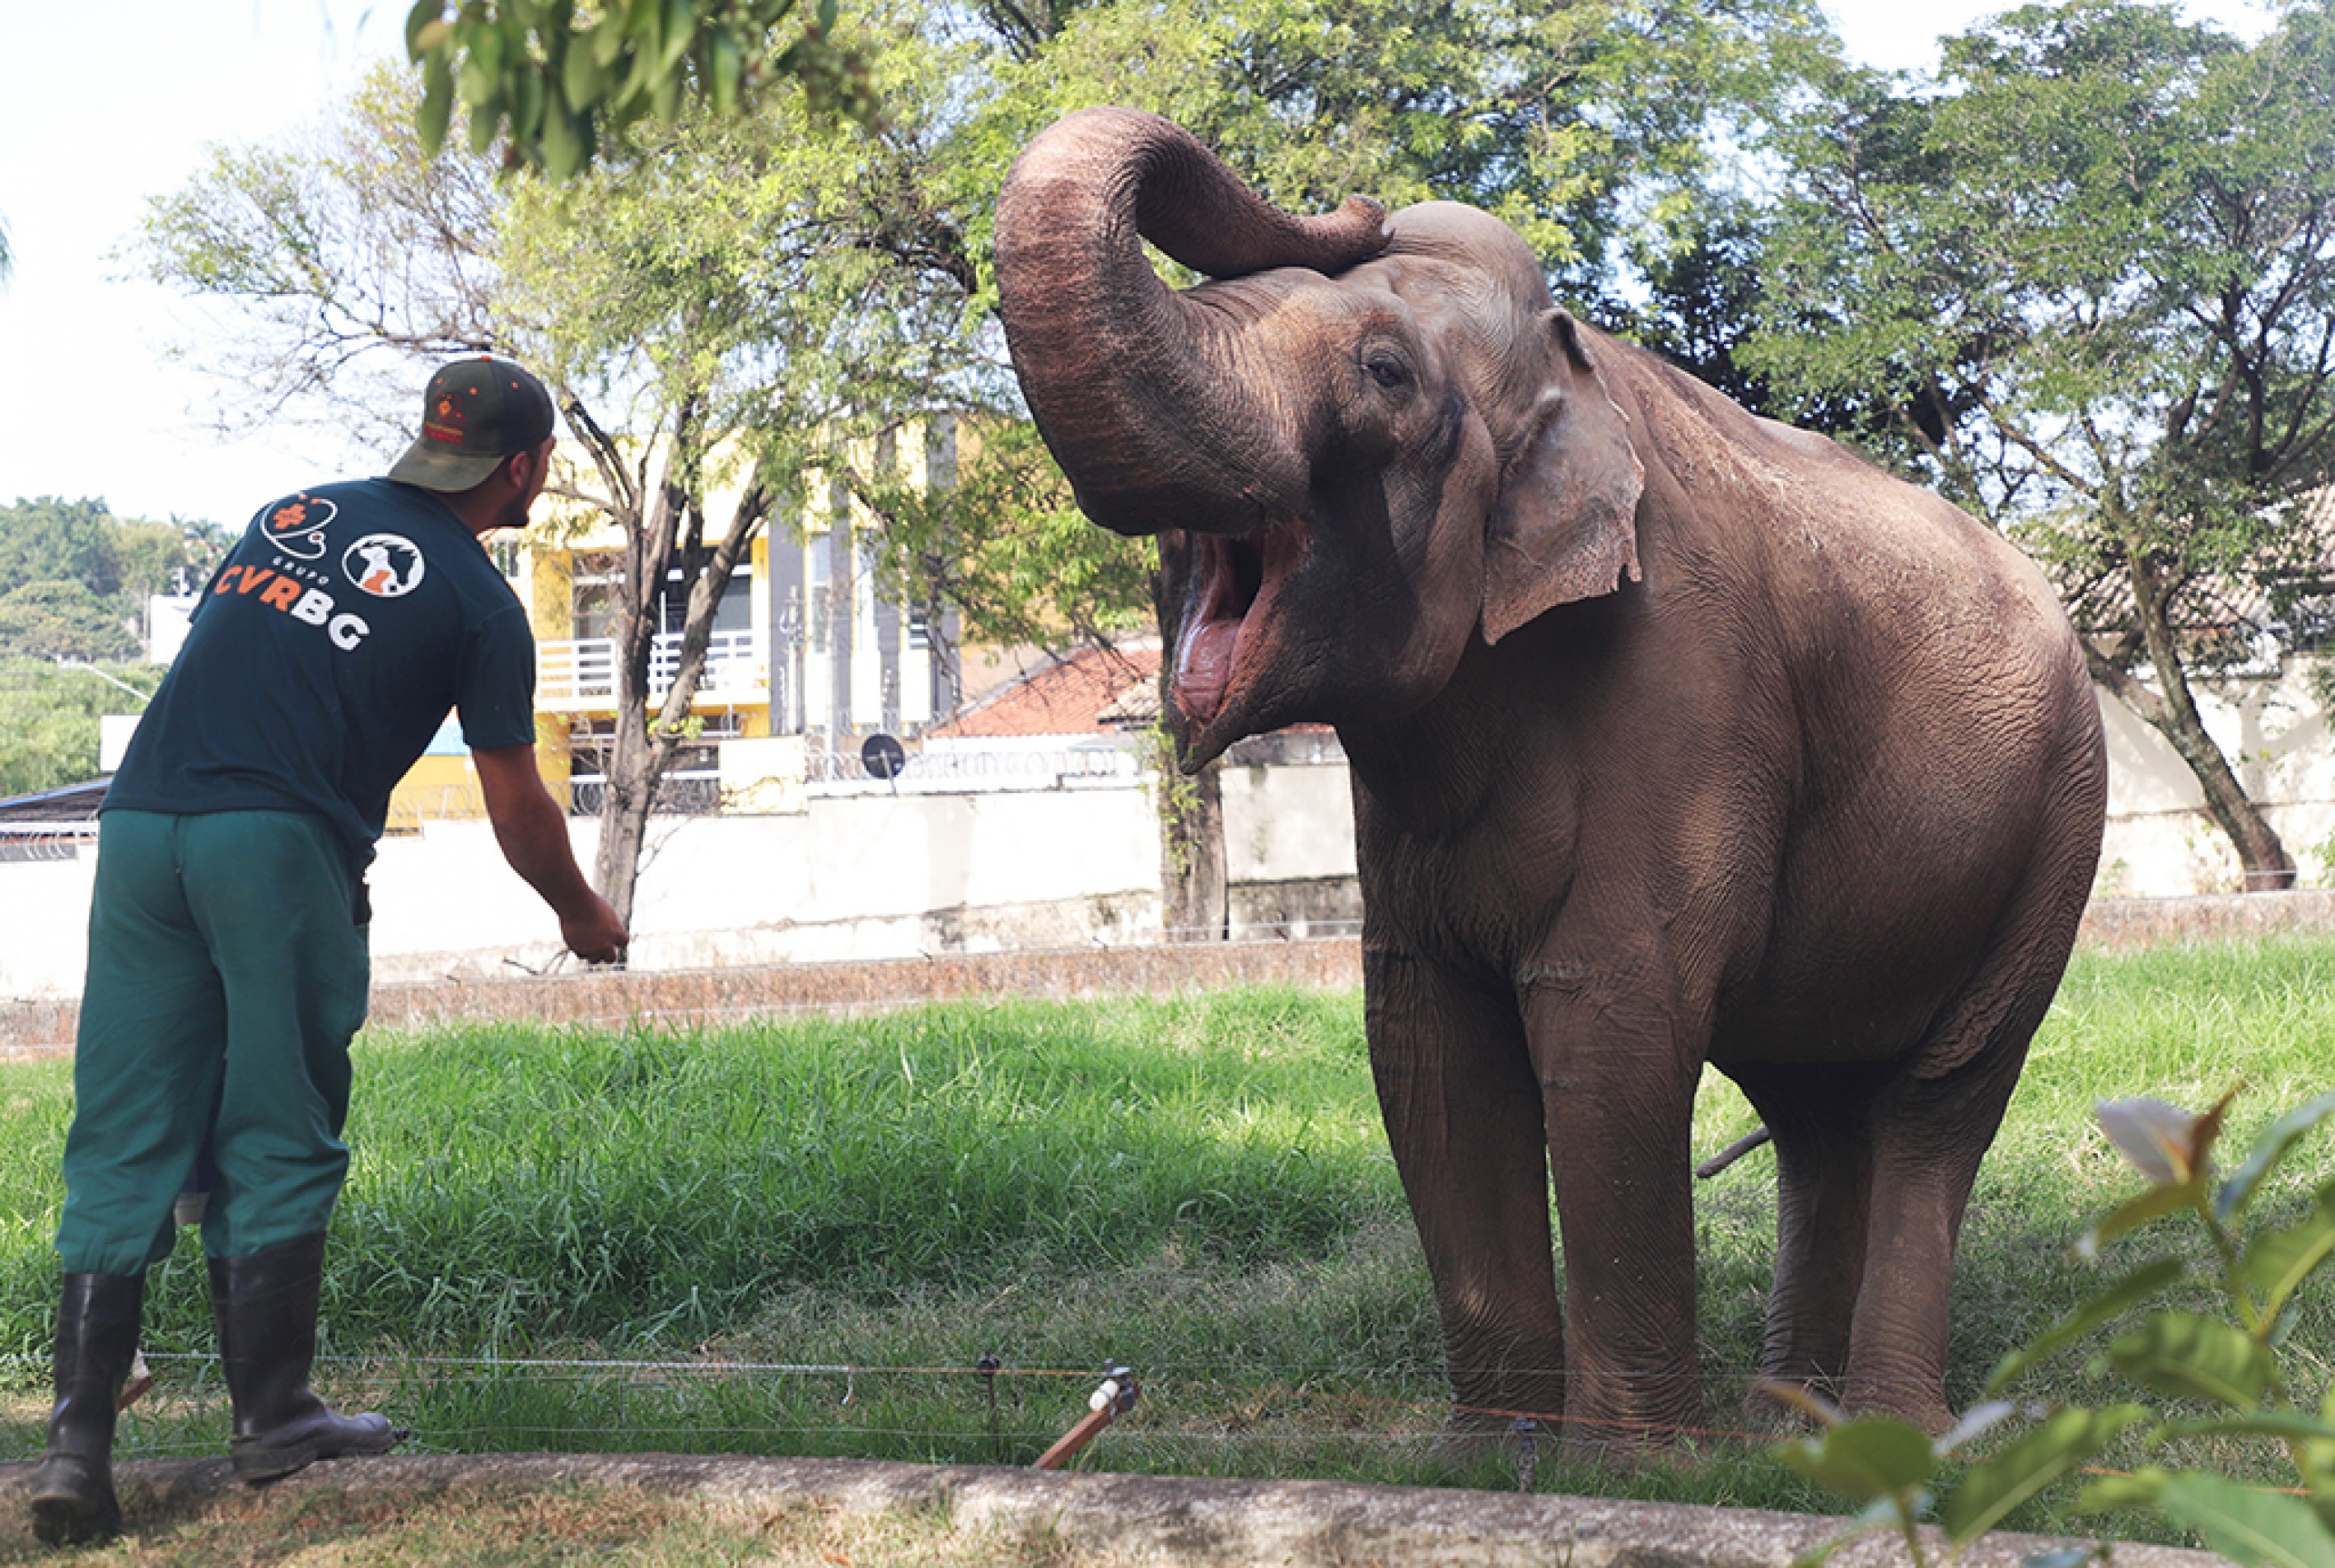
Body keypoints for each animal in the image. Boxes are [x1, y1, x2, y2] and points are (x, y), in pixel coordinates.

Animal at [993, 107, 2107, 1447]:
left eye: (1383, 373)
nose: (1359, 202)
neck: (1570, 375)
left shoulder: (1689, 681)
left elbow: (1612, 1015)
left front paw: (1632, 1464)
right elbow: (1424, 1040)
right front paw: (1488, 1449)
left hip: (2056, 831)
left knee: (1935, 1105)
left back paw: (1881, 1432)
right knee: (1812, 1112)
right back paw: (1788, 1430)